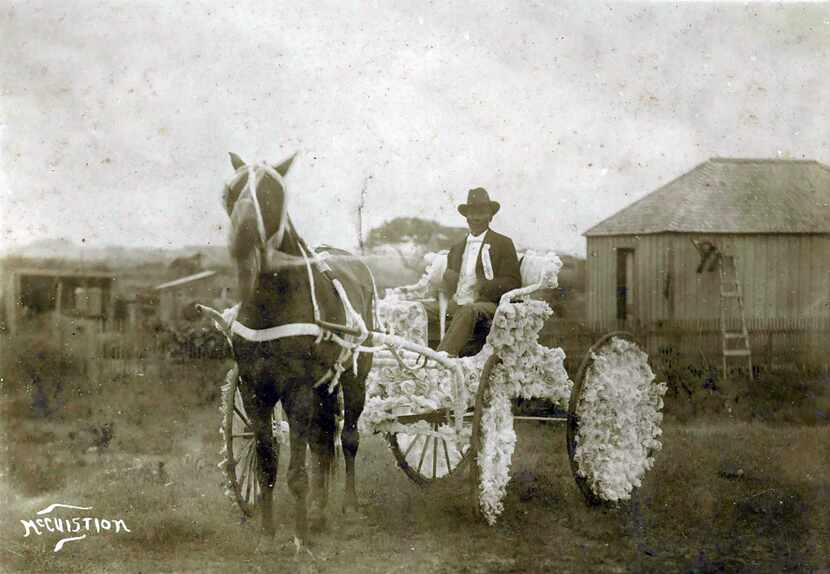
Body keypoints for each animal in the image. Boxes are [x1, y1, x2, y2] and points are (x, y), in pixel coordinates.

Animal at [223, 153, 376, 552]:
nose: (242, 237)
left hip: (354, 378)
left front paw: (300, 537)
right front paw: (267, 531)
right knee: (323, 442)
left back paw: (347, 507)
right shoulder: (254, 388)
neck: (271, 304)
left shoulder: (298, 391)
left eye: (271, 193)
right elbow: (266, 460)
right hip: (324, 386)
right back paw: (320, 513)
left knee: (348, 438)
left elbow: (297, 471)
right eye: (231, 191)